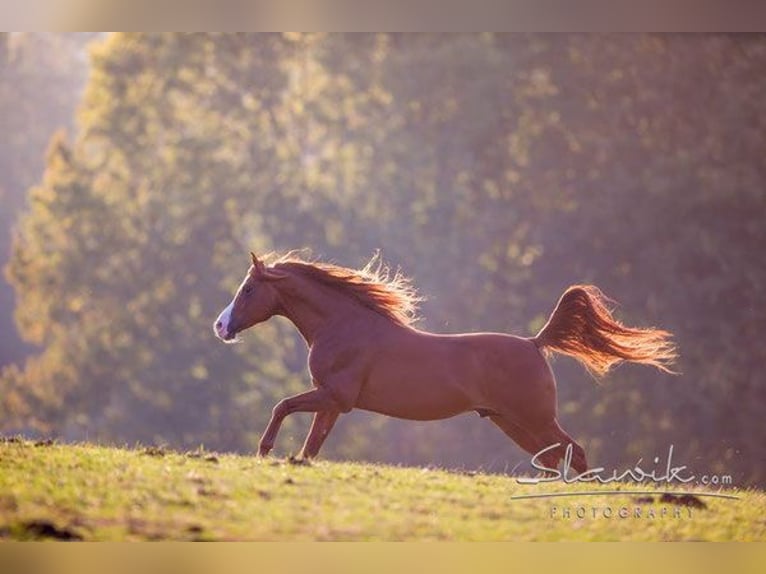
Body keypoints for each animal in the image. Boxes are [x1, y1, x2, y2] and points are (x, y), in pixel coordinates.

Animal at [213, 252, 677, 474]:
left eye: (249, 288)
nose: (220, 326)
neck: (344, 326)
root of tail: (535, 343)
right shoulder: (332, 403)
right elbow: (311, 445)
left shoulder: (334, 397)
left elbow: (283, 406)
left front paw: (264, 451)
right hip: (511, 422)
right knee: (553, 459)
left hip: (535, 419)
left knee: (574, 453)